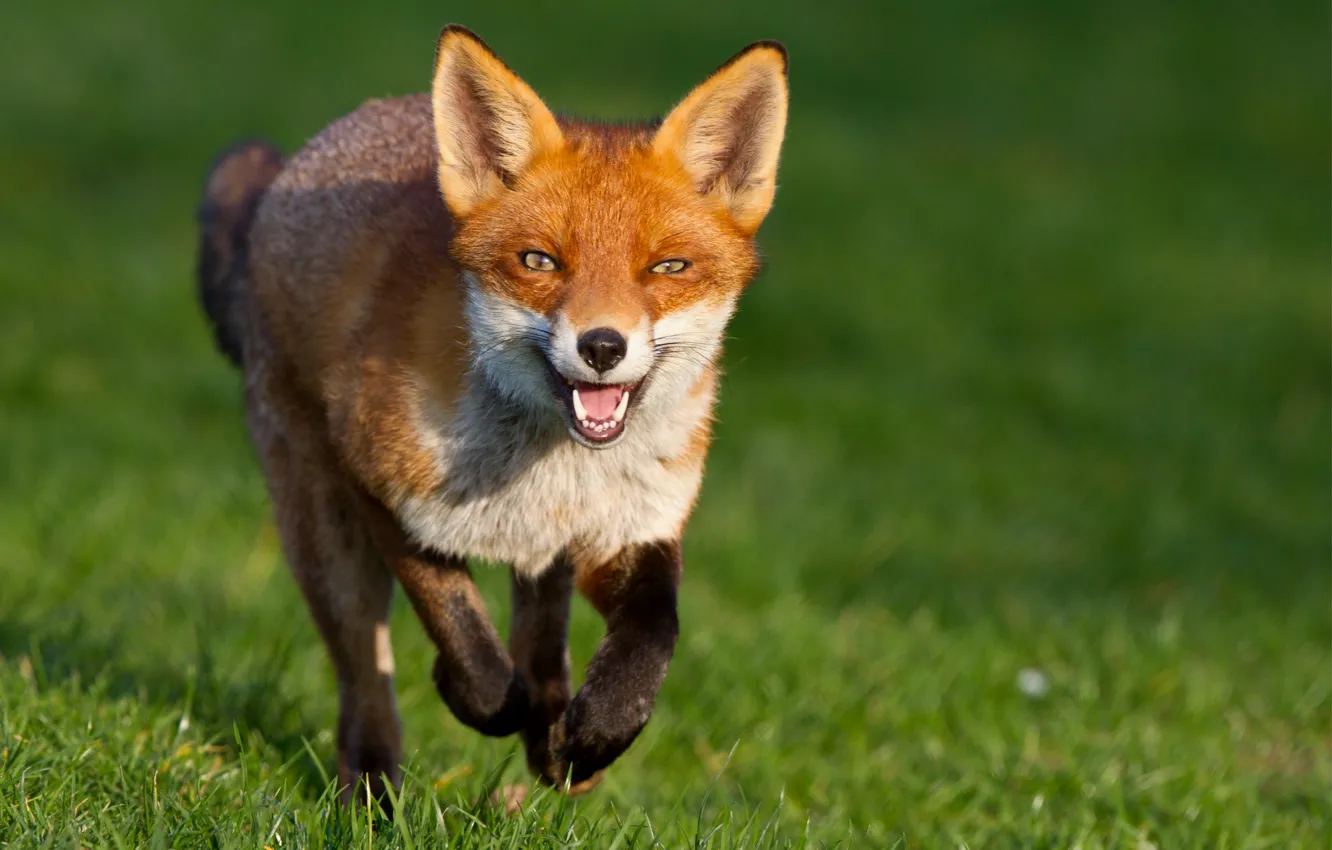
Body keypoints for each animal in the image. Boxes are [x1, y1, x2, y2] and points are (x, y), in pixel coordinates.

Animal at [195, 24, 788, 804]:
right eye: (538, 261)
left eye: (668, 268)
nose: (603, 346)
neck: (552, 469)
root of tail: (305, 158)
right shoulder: (384, 491)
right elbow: (466, 641)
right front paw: (466, 692)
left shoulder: (633, 528)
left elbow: (652, 635)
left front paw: (596, 734)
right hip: (323, 535)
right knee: (363, 677)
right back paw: (374, 789)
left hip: (542, 559)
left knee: (541, 638)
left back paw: (552, 738)